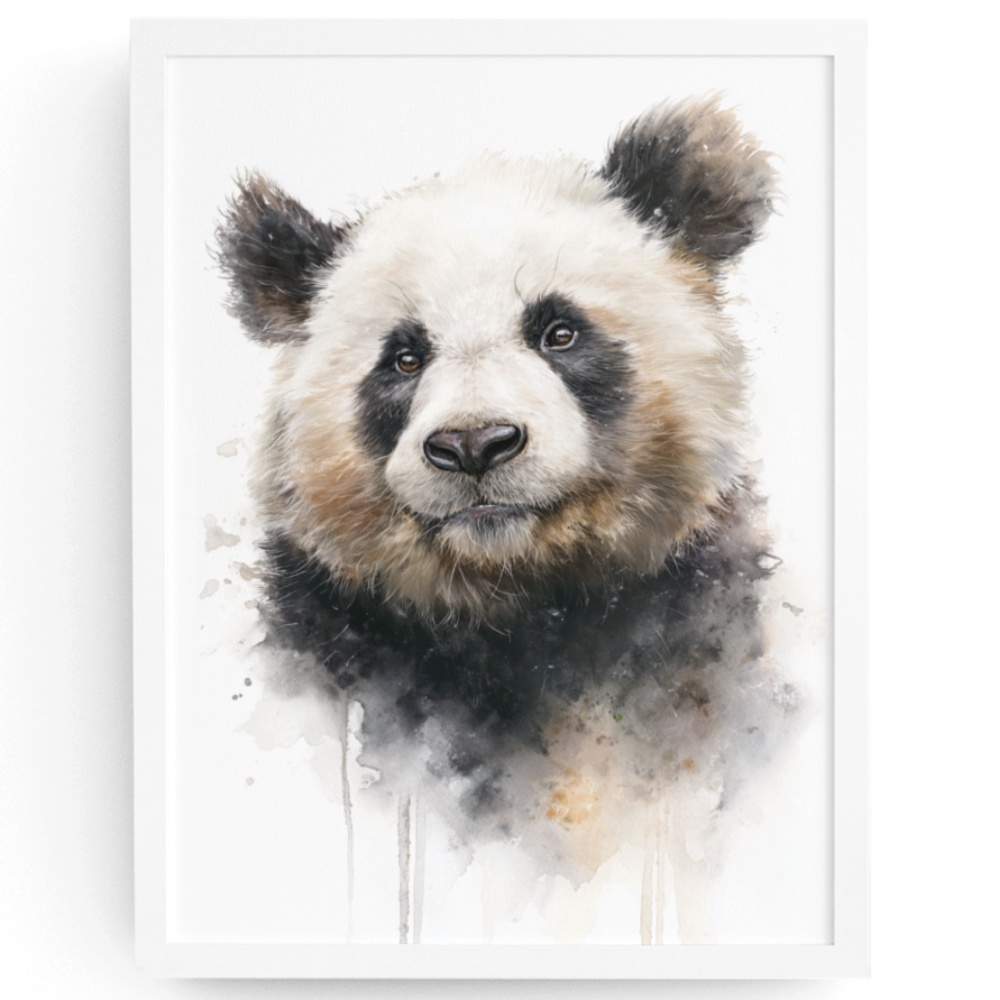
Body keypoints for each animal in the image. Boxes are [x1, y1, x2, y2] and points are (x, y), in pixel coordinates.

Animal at [215, 96, 792, 899]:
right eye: (404, 358)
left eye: (560, 332)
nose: (473, 445)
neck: (517, 599)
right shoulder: (342, 636)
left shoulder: (692, 624)